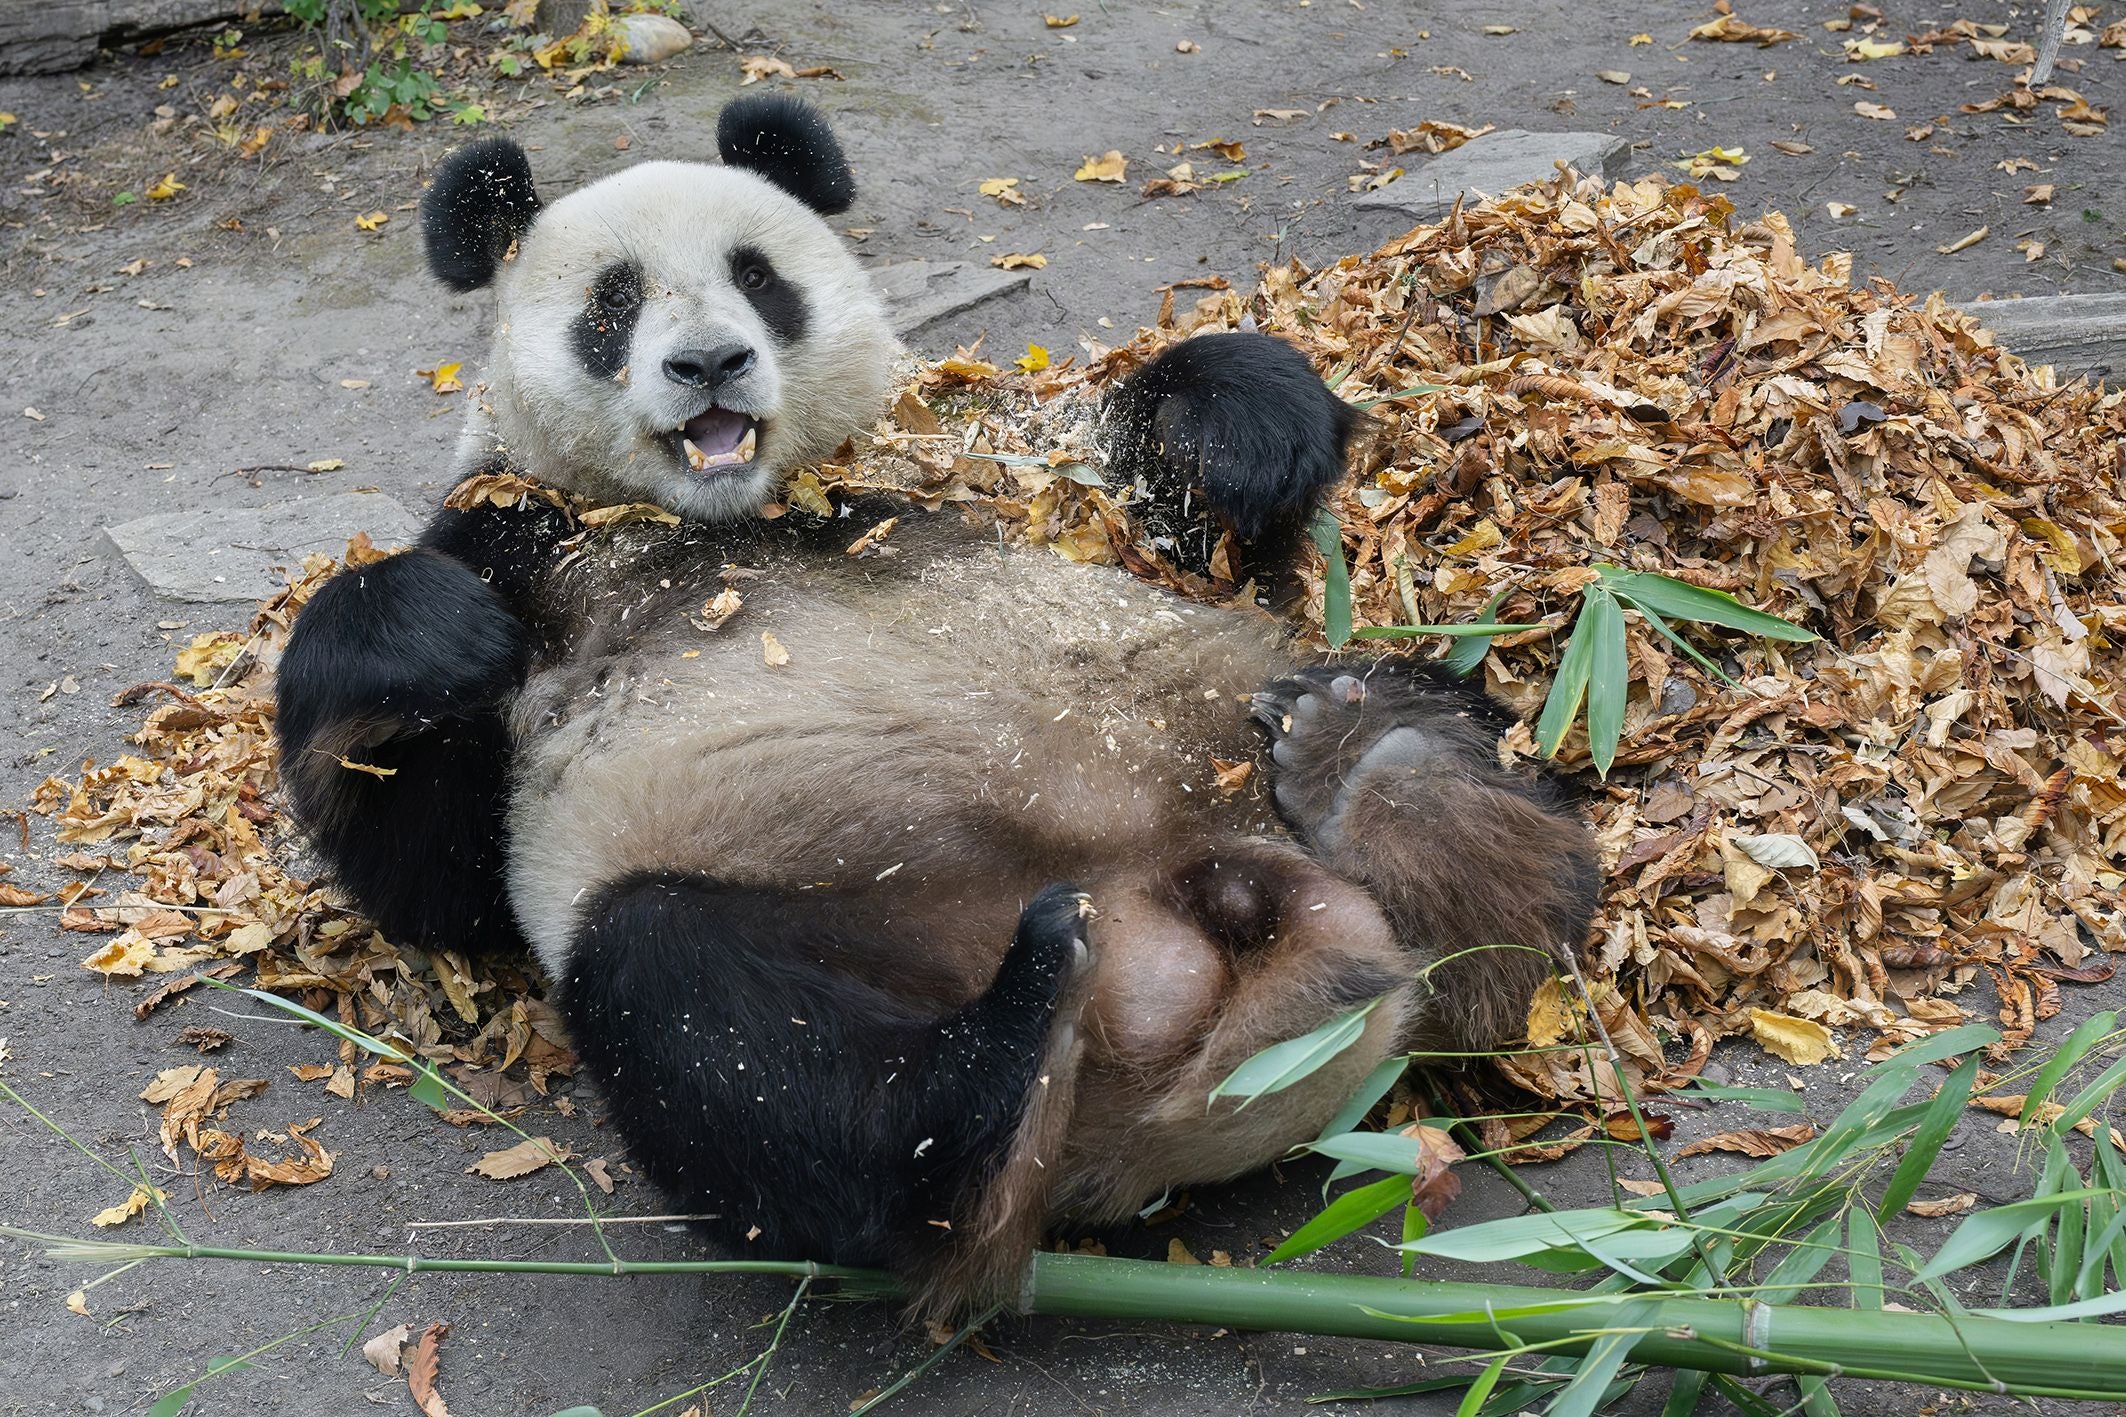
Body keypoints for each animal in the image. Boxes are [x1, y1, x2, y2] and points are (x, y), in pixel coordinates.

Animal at [275, 94, 1599, 1318]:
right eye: (612, 303)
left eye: (758, 279)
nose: (708, 363)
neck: (736, 512)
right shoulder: (519, 543)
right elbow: (436, 872)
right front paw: (423, 634)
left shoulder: (956, 469)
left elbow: (1182, 509)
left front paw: (1236, 426)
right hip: (852, 909)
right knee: (728, 1034)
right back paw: (1002, 1045)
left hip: (1248, 715)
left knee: (1448, 743)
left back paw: (1376, 773)